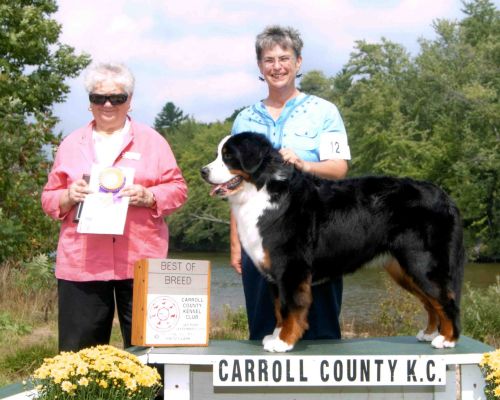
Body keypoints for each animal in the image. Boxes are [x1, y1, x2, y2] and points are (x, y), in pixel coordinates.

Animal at [199, 133, 464, 352]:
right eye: (218, 154)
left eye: (228, 156)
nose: (203, 171)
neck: (262, 191)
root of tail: (445, 197)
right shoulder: (275, 271)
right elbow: (279, 308)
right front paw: (275, 336)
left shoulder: (290, 268)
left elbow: (291, 307)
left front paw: (284, 342)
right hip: (404, 268)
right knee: (431, 302)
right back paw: (429, 334)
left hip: (422, 262)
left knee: (446, 300)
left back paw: (447, 339)